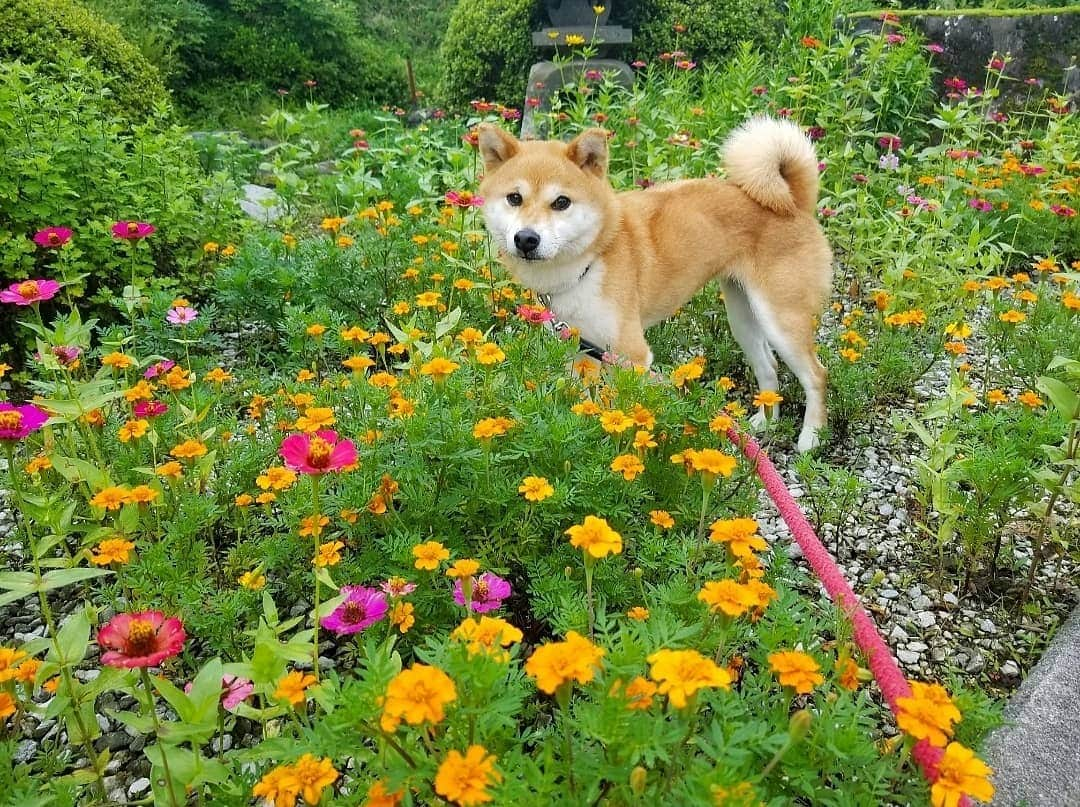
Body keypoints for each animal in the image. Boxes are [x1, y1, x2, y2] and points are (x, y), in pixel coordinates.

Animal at [475, 116, 833, 451]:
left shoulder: (631, 355)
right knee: (768, 366)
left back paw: (811, 438)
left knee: (817, 375)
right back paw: (764, 423)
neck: (587, 265)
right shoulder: (579, 351)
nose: (526, 238)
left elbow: (620, 407)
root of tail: (793, 202)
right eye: (514, 198)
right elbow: (585, 403)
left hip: (780, 319)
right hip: (743, 316)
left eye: (561, 202)